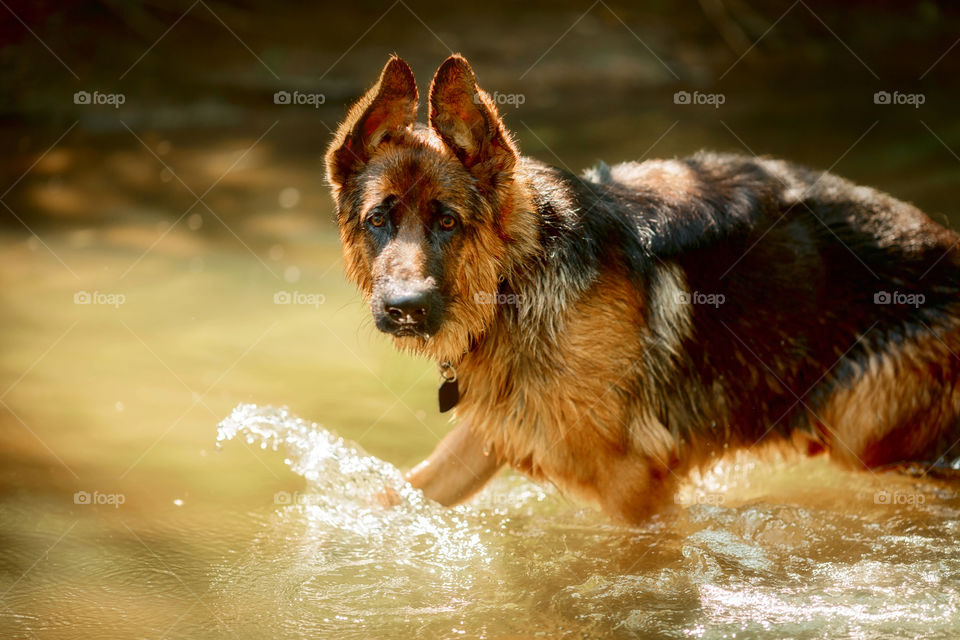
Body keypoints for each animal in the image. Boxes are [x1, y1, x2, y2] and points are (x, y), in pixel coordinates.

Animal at [326, 55, 960, 524]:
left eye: (447, 222)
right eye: (378, 220)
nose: (405, 309)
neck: (519, 278)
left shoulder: (635, 487)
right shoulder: (496, 433)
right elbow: (401, 490)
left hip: (870, 438)